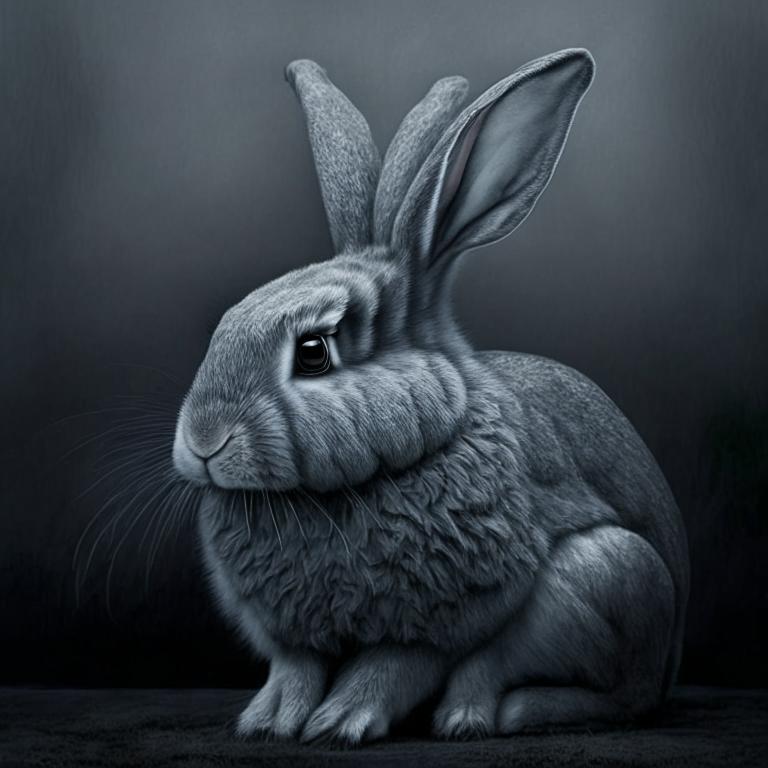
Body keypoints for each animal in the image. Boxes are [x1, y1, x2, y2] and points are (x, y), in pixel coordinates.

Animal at [172, 48, 689, 744]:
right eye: (227, 321)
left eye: (314, 352)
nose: (203, 441)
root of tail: (667, 669)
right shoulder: (294, 641)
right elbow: (295, 670)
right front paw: (268, 722)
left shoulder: (447, 616)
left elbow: (392, 667)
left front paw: (339, 724)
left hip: (606, 576)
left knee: (557, 684)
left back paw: (480, 717)